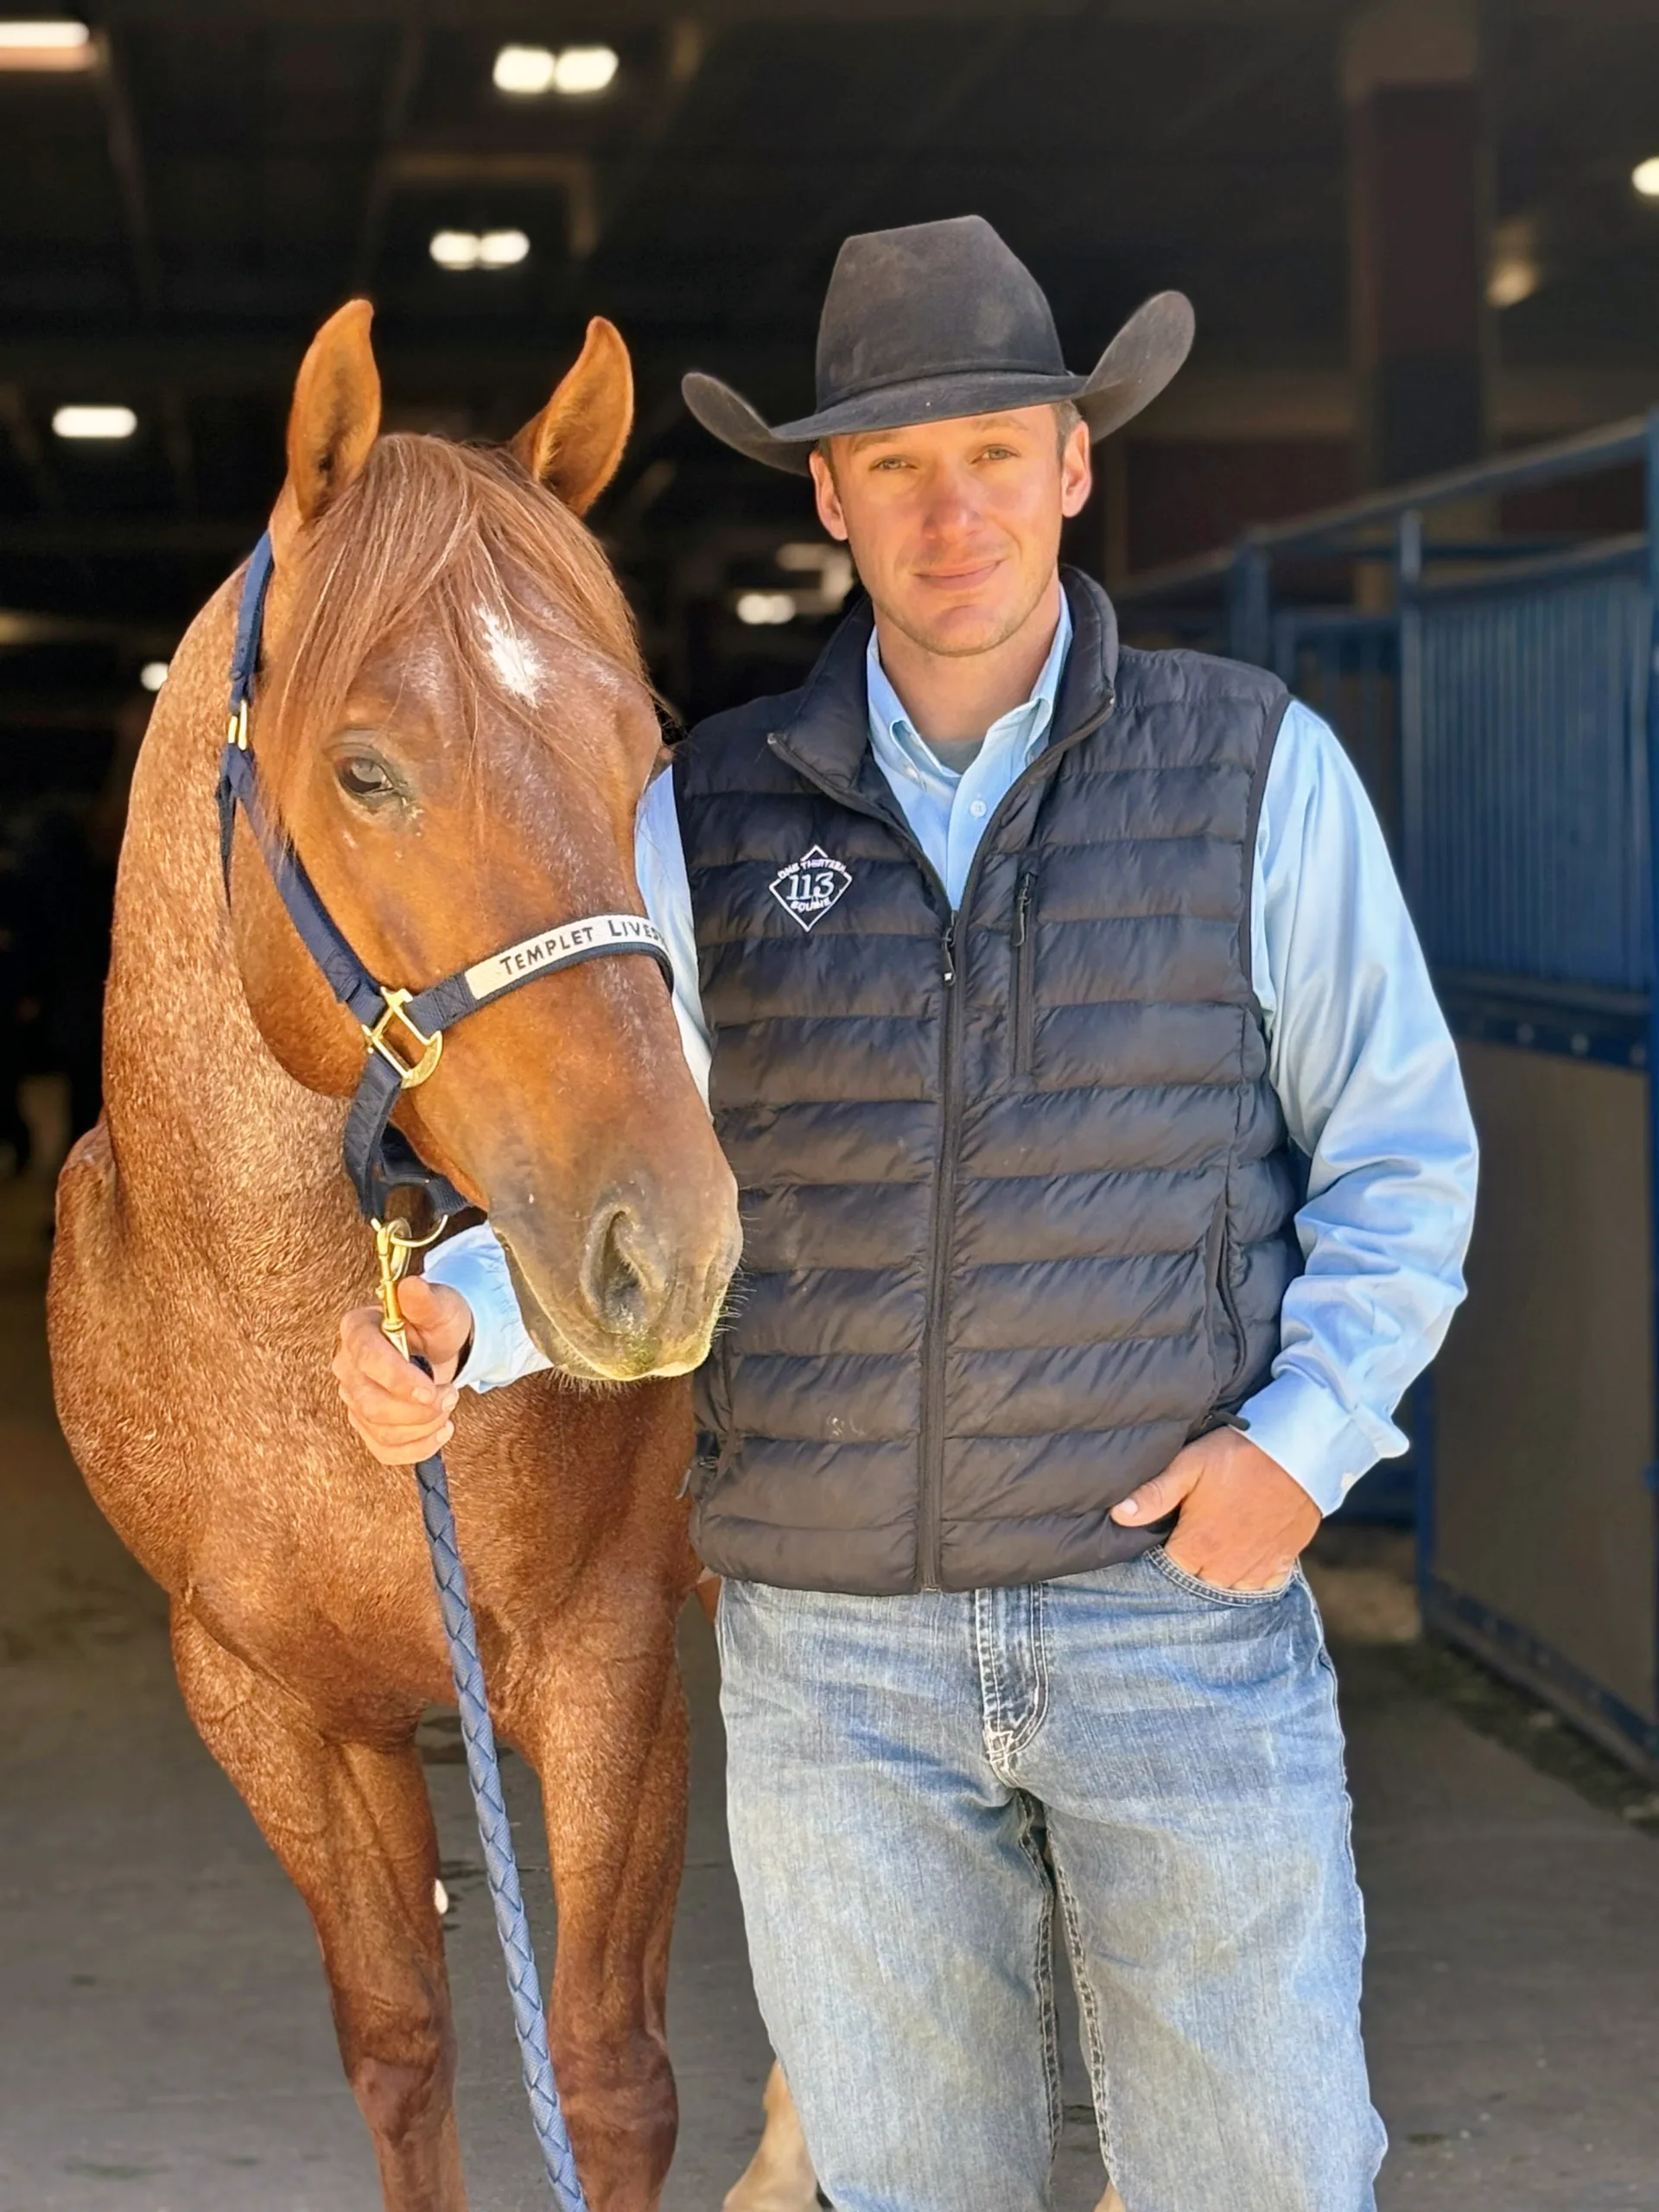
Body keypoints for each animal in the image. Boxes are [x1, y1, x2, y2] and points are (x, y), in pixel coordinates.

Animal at [47, 299, 741, 2212]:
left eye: (647, 750)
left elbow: (609, 2074)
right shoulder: (275, 1704)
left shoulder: (608, 1666)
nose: (665, 1246)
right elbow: (404, 2045)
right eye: (365, 769)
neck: (277, 1330)